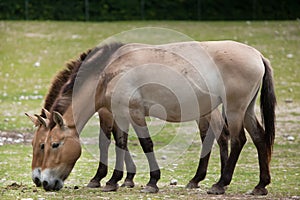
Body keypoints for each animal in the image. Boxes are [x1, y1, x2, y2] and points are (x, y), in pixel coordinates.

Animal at [40, 41, 276, 195]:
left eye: (53, 144)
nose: (43, 182)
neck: (111, 71)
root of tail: (257, 55)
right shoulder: (120, 114)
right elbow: (121, 142)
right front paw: (114, 181)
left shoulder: (133, 112)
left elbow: (144, 144)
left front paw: (151, 182)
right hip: (246, 110)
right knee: (258, 138)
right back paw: (259, 186)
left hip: (234, 110)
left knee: (238, 140)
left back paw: (219, 184)